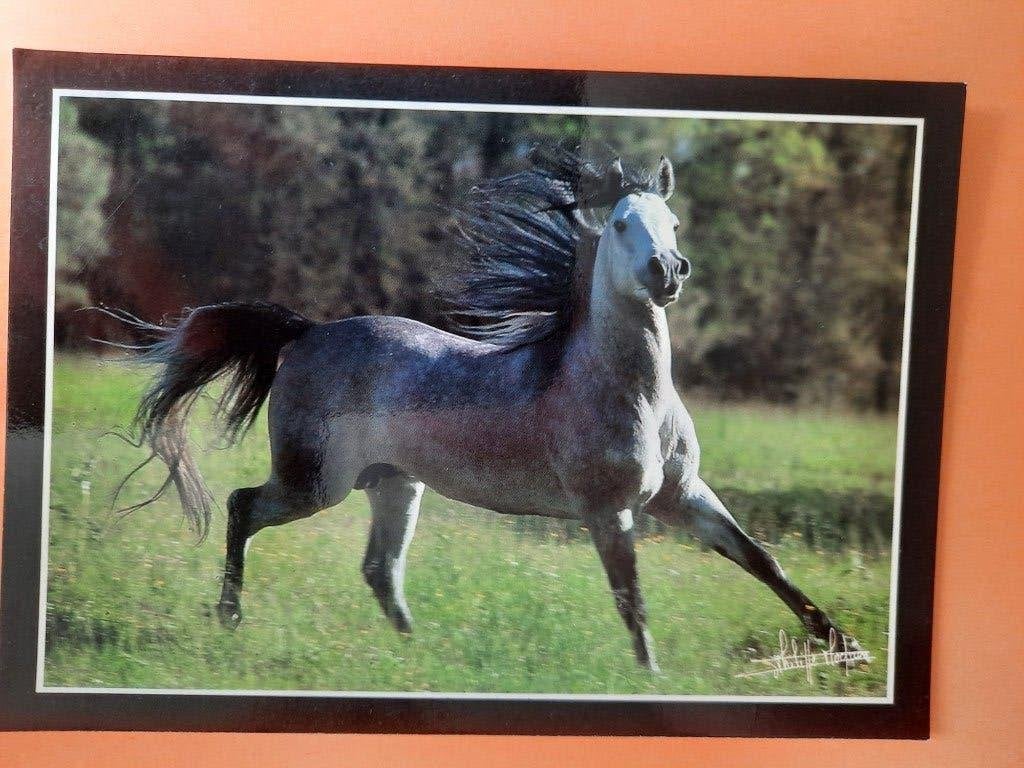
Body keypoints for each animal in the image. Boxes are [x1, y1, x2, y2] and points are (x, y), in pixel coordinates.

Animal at [111, 146, 861, 672]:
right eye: (622, 223)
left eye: (673, 222)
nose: (668, 271)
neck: (631, 395)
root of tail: (306, 332)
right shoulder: (608, 511)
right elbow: (632, 598)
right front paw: (652, 676)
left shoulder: (683, 495)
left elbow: (761, 560)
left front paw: (844, 646)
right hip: (314, 483)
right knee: (243, 507)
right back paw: (230, 617)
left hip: (394, 485)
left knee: (380, 570)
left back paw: (418, 654)